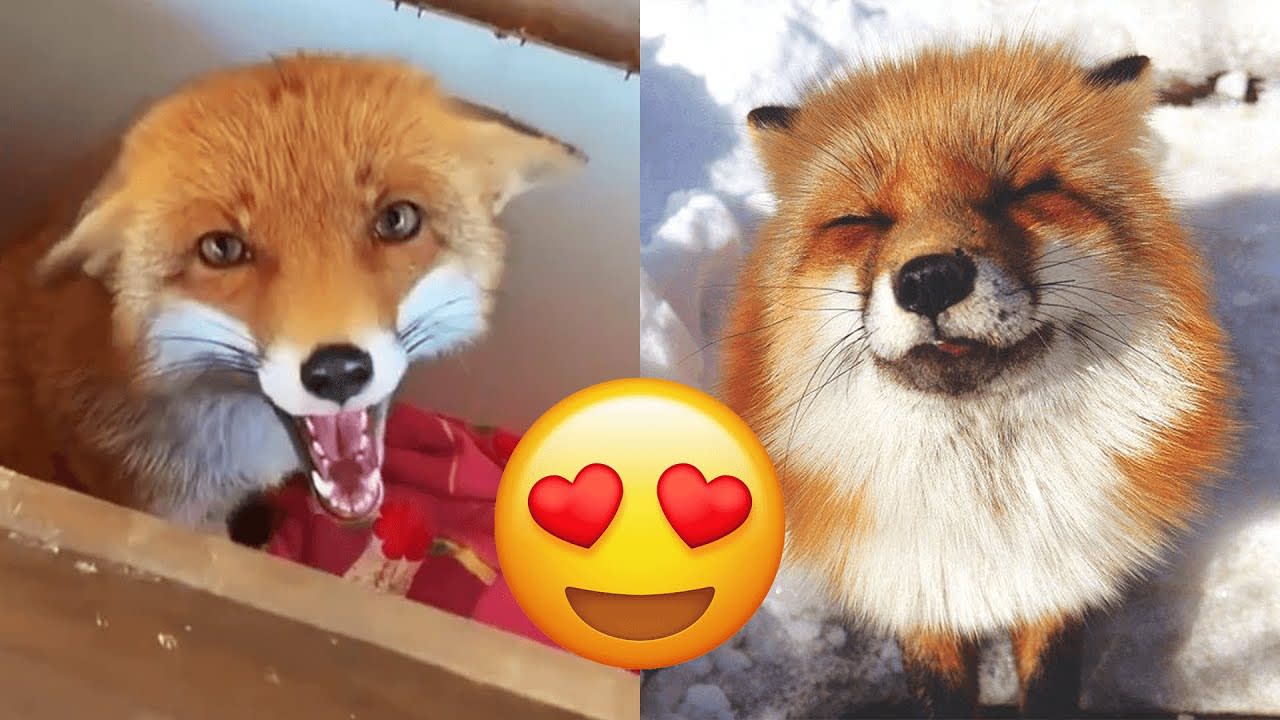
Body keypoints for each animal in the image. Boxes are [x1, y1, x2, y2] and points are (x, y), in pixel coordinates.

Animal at [721, 42, 1235, 718]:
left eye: (1024, 191)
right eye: (859, 220)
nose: (929, 278)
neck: (986, 514)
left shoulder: (1058, 585)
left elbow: (1049, 684)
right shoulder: (917, 599)